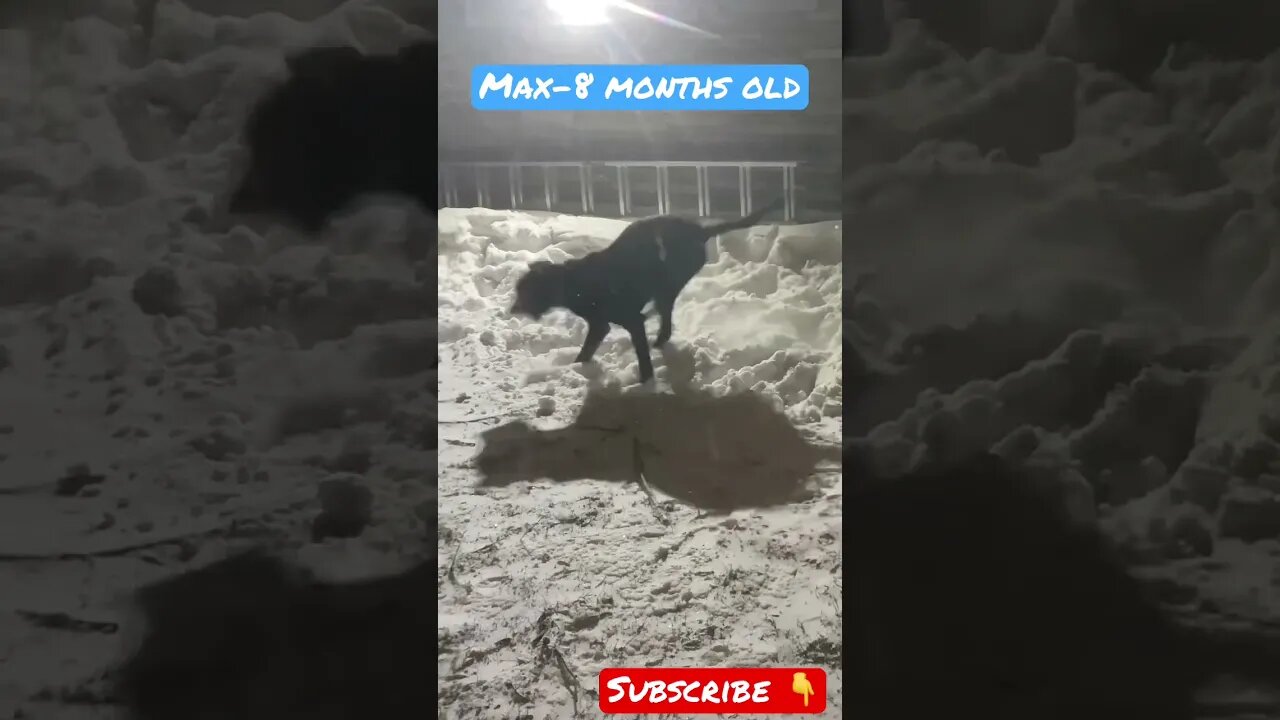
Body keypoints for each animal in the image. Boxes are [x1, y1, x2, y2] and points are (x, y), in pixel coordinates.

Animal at [509, 198, 778, 381]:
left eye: (523, 291)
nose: (511, 309)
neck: (573, 282)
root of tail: (699, 230)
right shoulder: (600, 324)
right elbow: (586, 351)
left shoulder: (625, 322)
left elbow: (638, 356)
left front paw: (645, 383)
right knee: (664, 319)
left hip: (668, 283)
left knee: (664, 319)